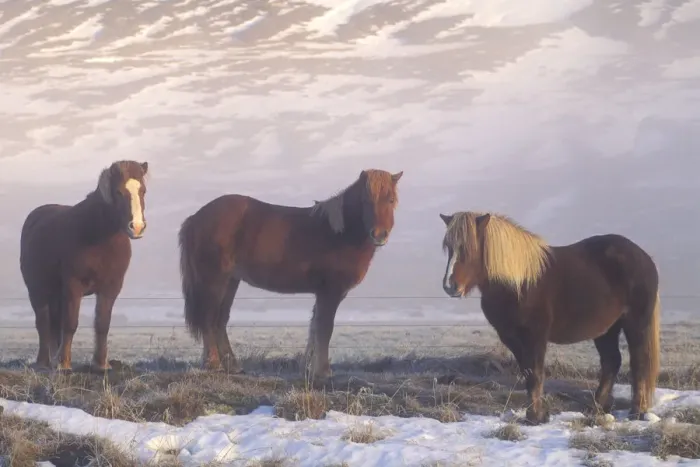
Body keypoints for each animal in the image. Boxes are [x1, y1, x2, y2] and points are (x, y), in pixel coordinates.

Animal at [19, 160, 149, 372]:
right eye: (119, 192)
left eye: (143, 191)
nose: (136, 227)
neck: (99, 236)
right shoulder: (74, 285)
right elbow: (71, 323)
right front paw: (64, 364)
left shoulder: (111, 287)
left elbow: (102, 324)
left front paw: (101, 364)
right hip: (37, 290)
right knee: (43, 324)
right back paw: (44, 362)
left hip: (57, 293)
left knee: (54, 324)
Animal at [178, 169, 403, 380]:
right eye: (366, 201)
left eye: (391, 199)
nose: (379, 235)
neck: (340, 233)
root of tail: (195, 218)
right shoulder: (330, 291)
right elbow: (325, 328)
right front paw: (323, 371)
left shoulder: (325, 293)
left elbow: (315, 328)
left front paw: (308, 368)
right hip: (214, 280)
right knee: (209, 319)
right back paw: (213, 365)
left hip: (231, 281)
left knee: (220, 320)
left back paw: (233, 366)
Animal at [439, 211, 660, 425]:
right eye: (449, 248)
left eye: (469, 248)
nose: (450, 286)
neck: (518, 283)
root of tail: (643, 257)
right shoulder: (511, 337)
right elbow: (527, 372)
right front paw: (539, 415)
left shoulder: (535, 336)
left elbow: (535, 374)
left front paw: (535, 417)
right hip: (607, 329)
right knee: (611, 362)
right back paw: (595, 408)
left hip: (636, 324)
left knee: (639, 363)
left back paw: (636, 411)